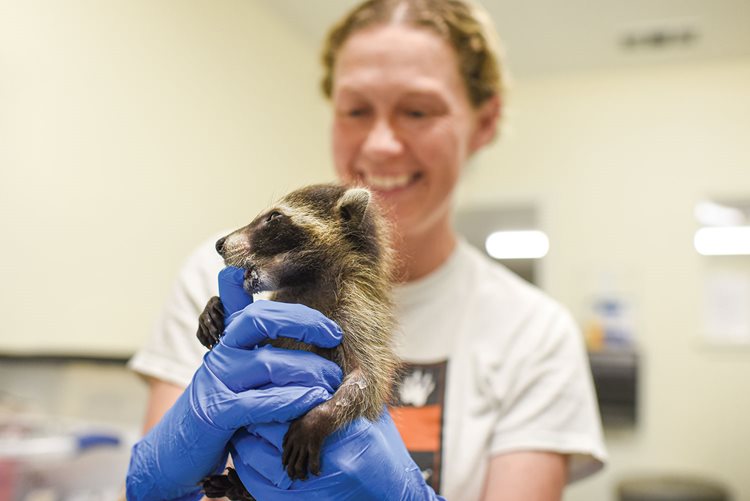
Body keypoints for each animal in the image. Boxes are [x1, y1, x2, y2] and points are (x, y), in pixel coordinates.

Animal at [198, 184, 400, 500]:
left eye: (274, 218)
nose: (219, 244)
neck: (307, 282)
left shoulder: (359, 310)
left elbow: (366, 379)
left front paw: (320, 416)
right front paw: (212, 306)